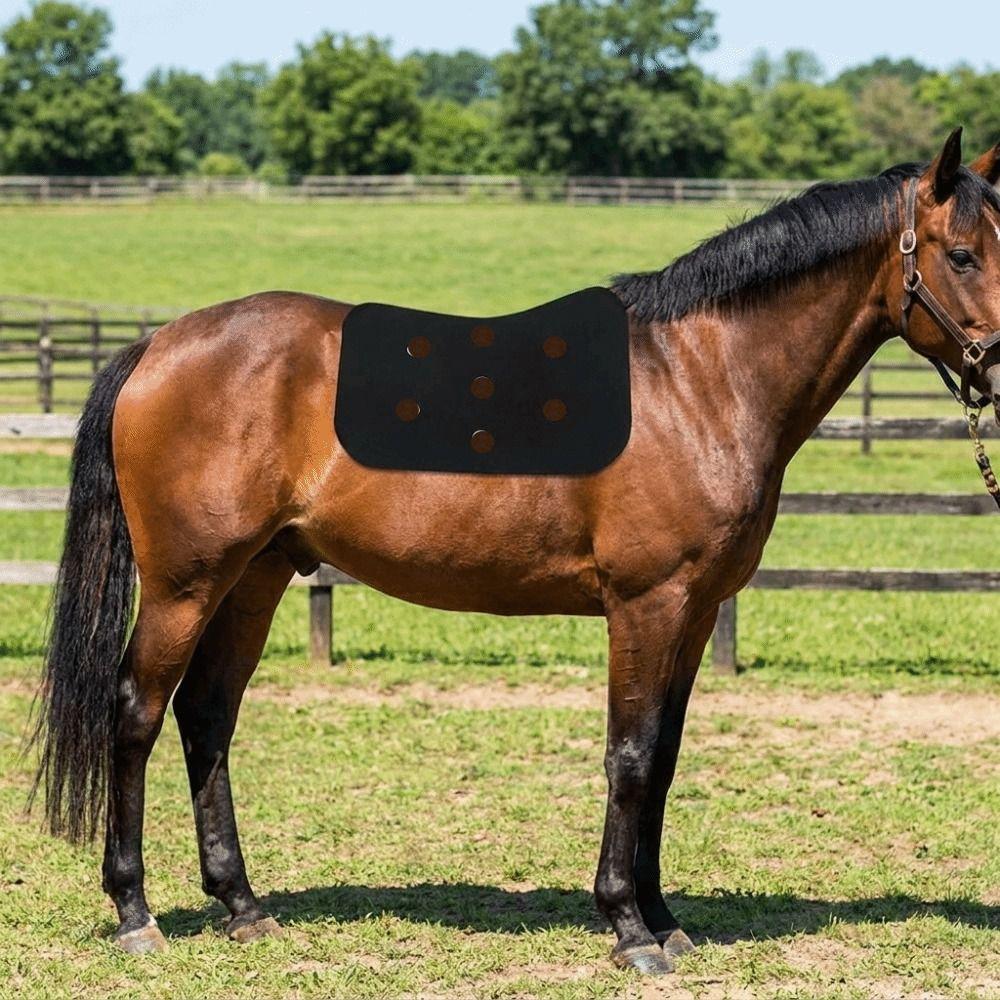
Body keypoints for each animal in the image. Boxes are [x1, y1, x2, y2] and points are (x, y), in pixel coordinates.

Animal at [30, 130, 1000, 975]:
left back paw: (242, 906)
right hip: (185, 584)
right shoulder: (645, 605)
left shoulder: (691, 615)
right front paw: (628, 928)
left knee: (207, 717)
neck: (699, 378)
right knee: (137, 713)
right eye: (961, 255)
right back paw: (136, 914)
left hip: (256, 576)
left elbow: (664, 759)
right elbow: (630, 756)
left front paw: (665, 920)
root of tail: (159, 343)